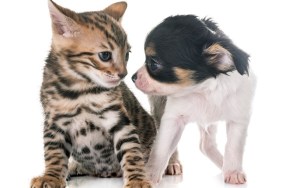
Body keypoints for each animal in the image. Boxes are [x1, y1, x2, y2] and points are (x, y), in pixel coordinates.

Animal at [31, 0, 156, 187]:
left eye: (127, 55)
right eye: (105, 56)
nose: (124, 74)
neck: (82, 91)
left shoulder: (120, 122)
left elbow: (131, 152)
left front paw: (137, 180)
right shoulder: (54, 123)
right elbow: (54, 154)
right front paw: (50, 177)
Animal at [131, 15, 256, 185]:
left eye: (153, 63)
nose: (133, 77)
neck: (201, 90)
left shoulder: (238, 119)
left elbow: (233, 148)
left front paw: (233, 172)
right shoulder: (173, 119)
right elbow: (161, 149)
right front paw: (149, 176)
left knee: (206, 145)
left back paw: (223, 165)